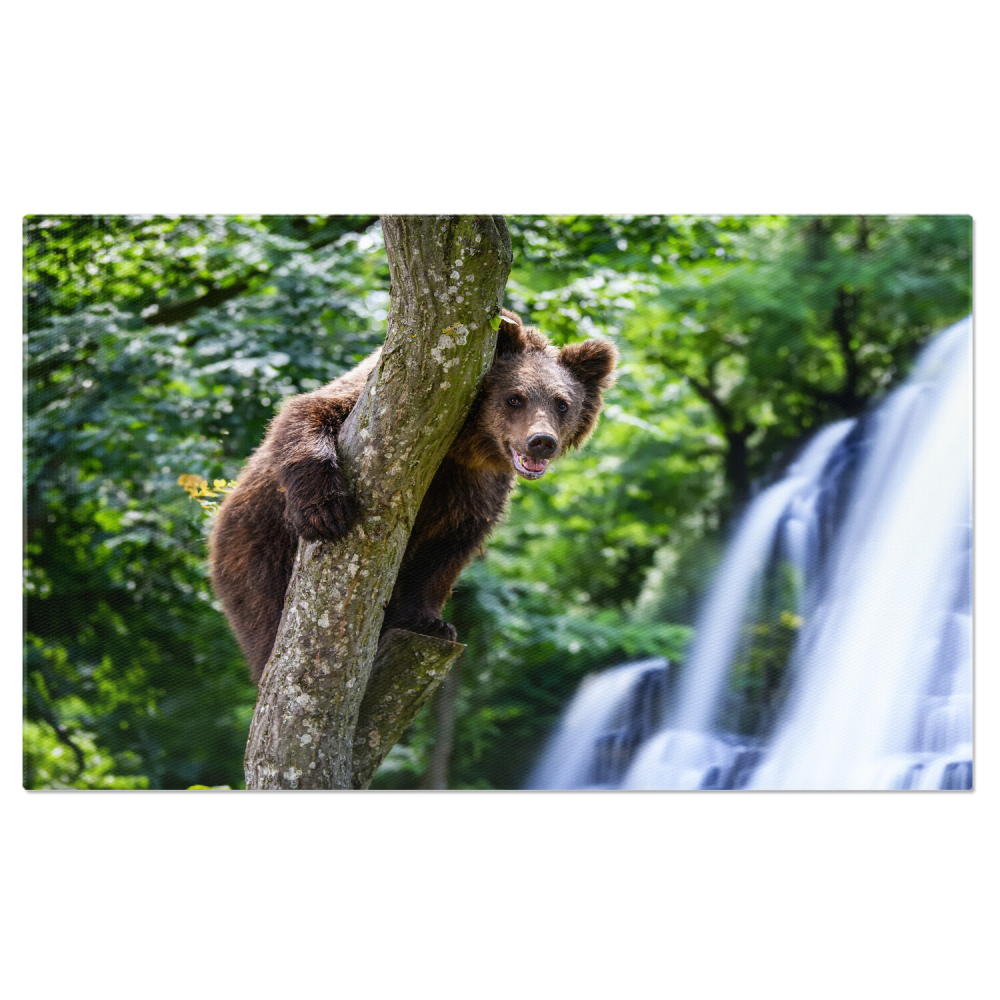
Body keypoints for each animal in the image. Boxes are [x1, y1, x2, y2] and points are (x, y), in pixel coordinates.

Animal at [209, 309, 618, 681]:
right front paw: (325, 513)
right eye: (514, 398)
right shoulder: (375, 403)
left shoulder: (476, 488)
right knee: (262, 608)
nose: (541, 441)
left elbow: (444, 550)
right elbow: (306, 413)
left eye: (562, 403)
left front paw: (430, 621)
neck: (463, 445)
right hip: (255, 542)